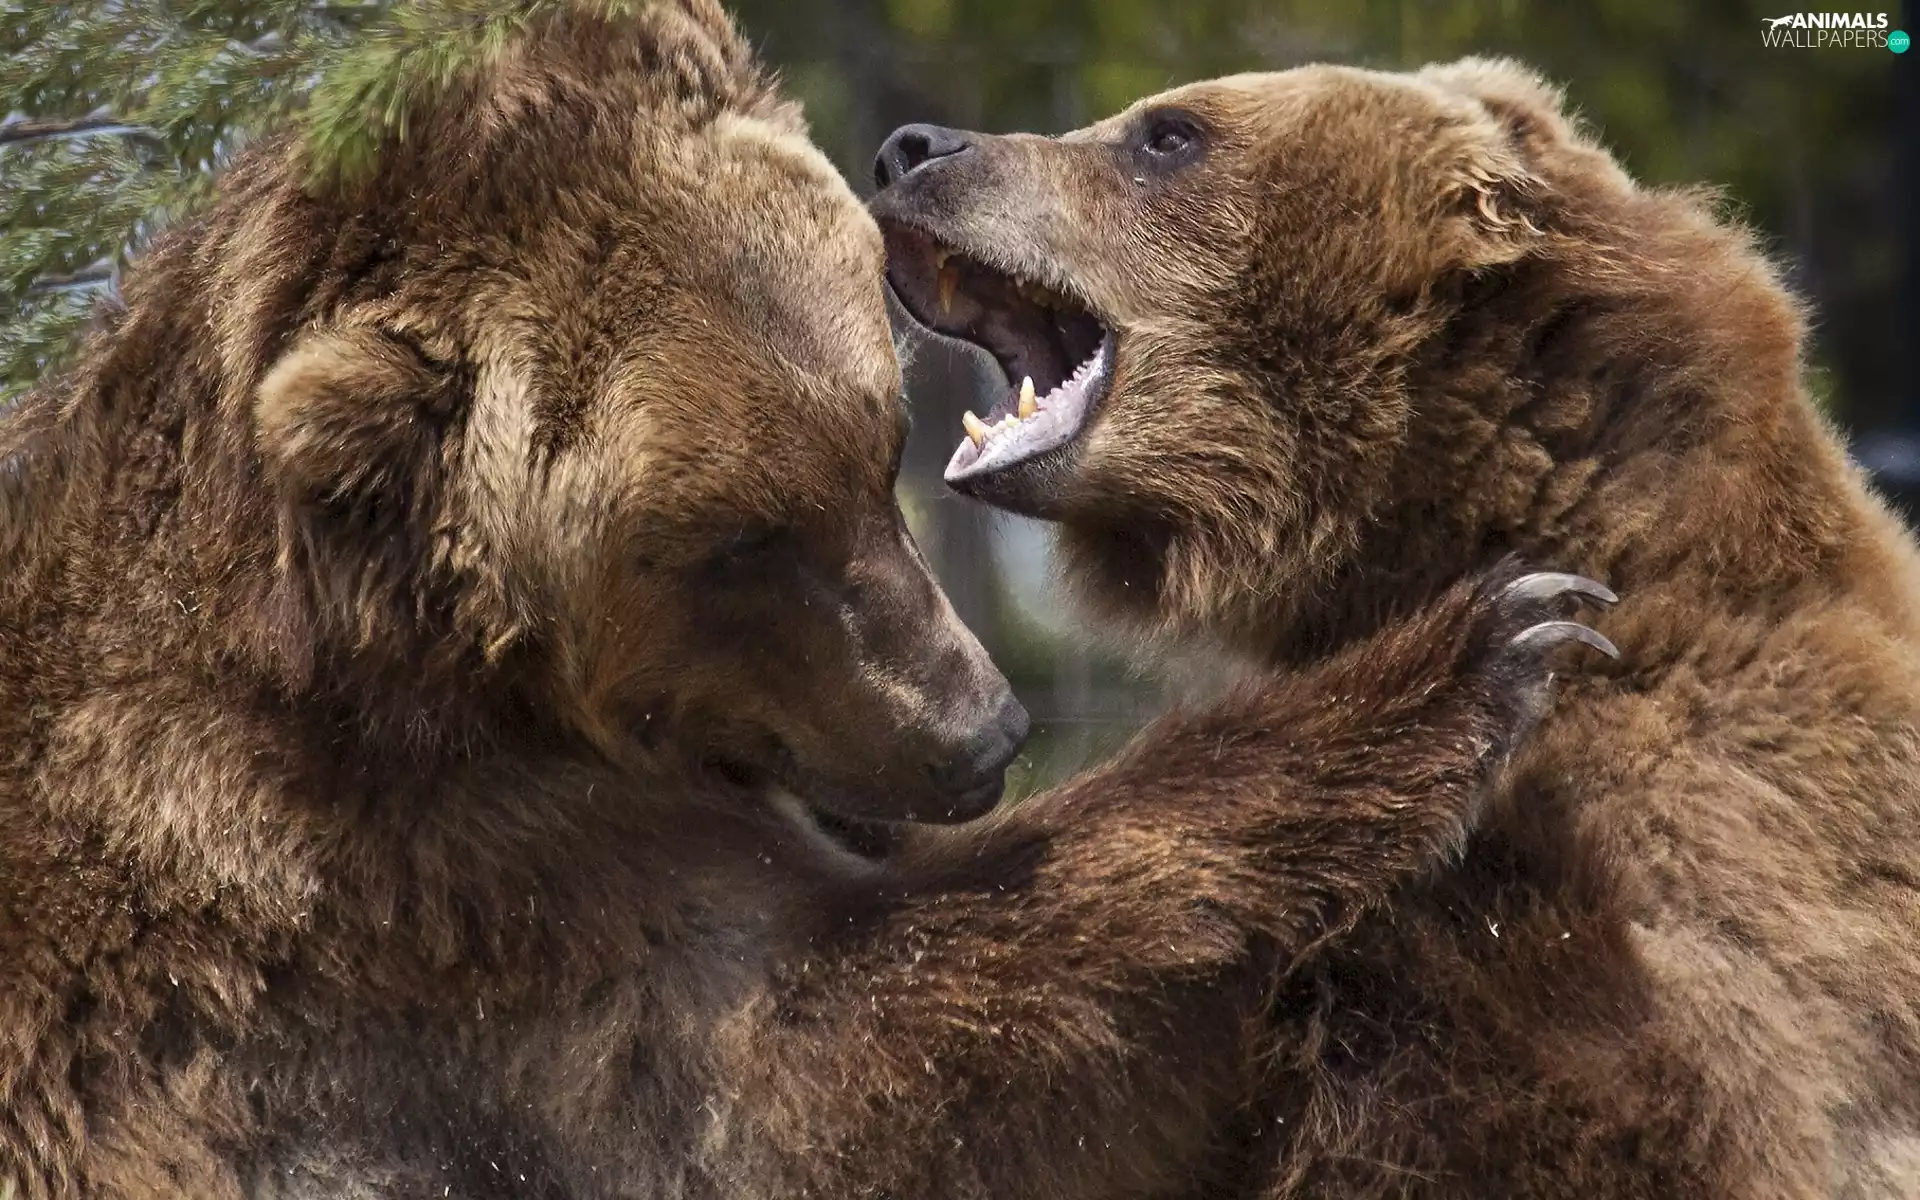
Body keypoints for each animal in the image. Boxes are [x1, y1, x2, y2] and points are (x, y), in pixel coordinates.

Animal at [0, 10, 1616, 1199]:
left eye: (876, 448)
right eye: (733, 543)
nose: (983, 735)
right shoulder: (419, 915)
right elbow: (840, 1073)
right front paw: (1480, 647)